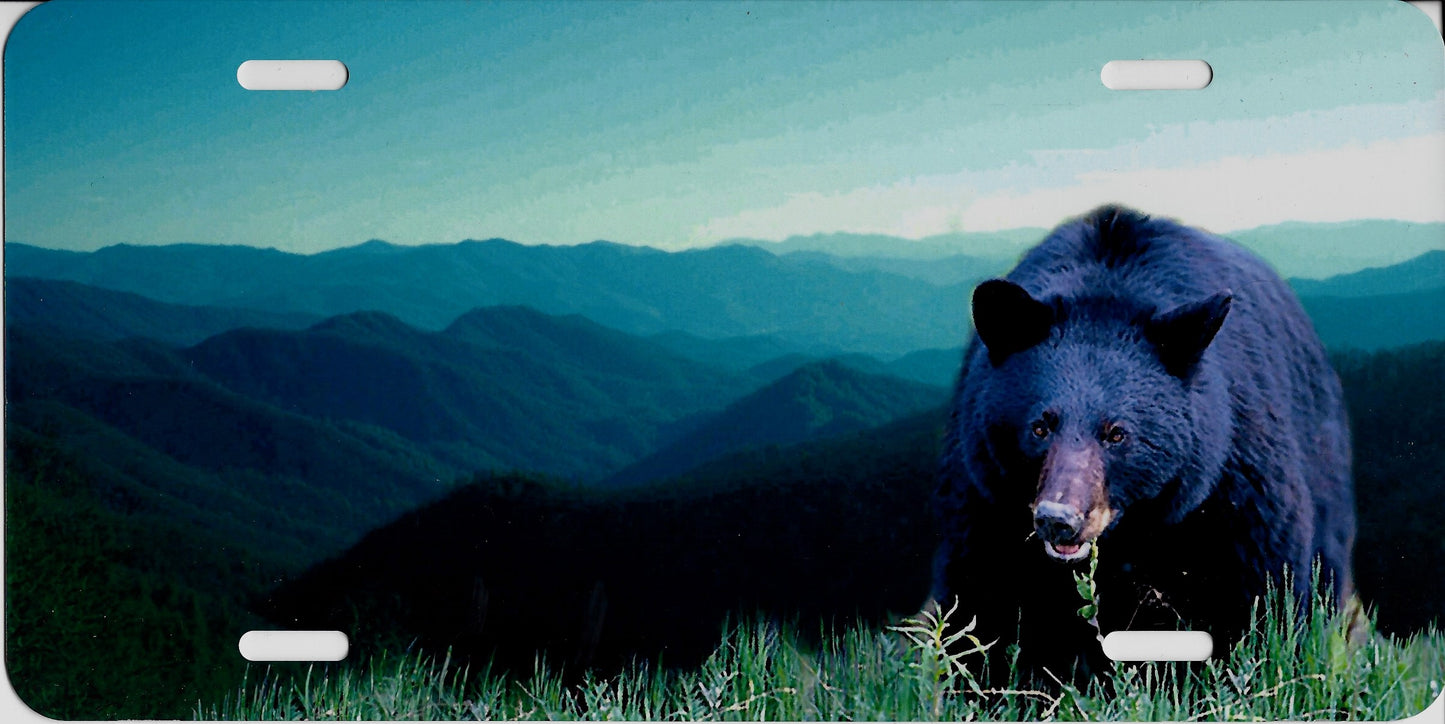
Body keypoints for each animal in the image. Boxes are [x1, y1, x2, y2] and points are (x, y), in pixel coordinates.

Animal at [930, 205, 1356, 681]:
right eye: (1040, 427)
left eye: (1116, 433)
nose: (1058, 519)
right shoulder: (984, 491)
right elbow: (980, 597)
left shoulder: (1233, 483)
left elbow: (1260, 590)